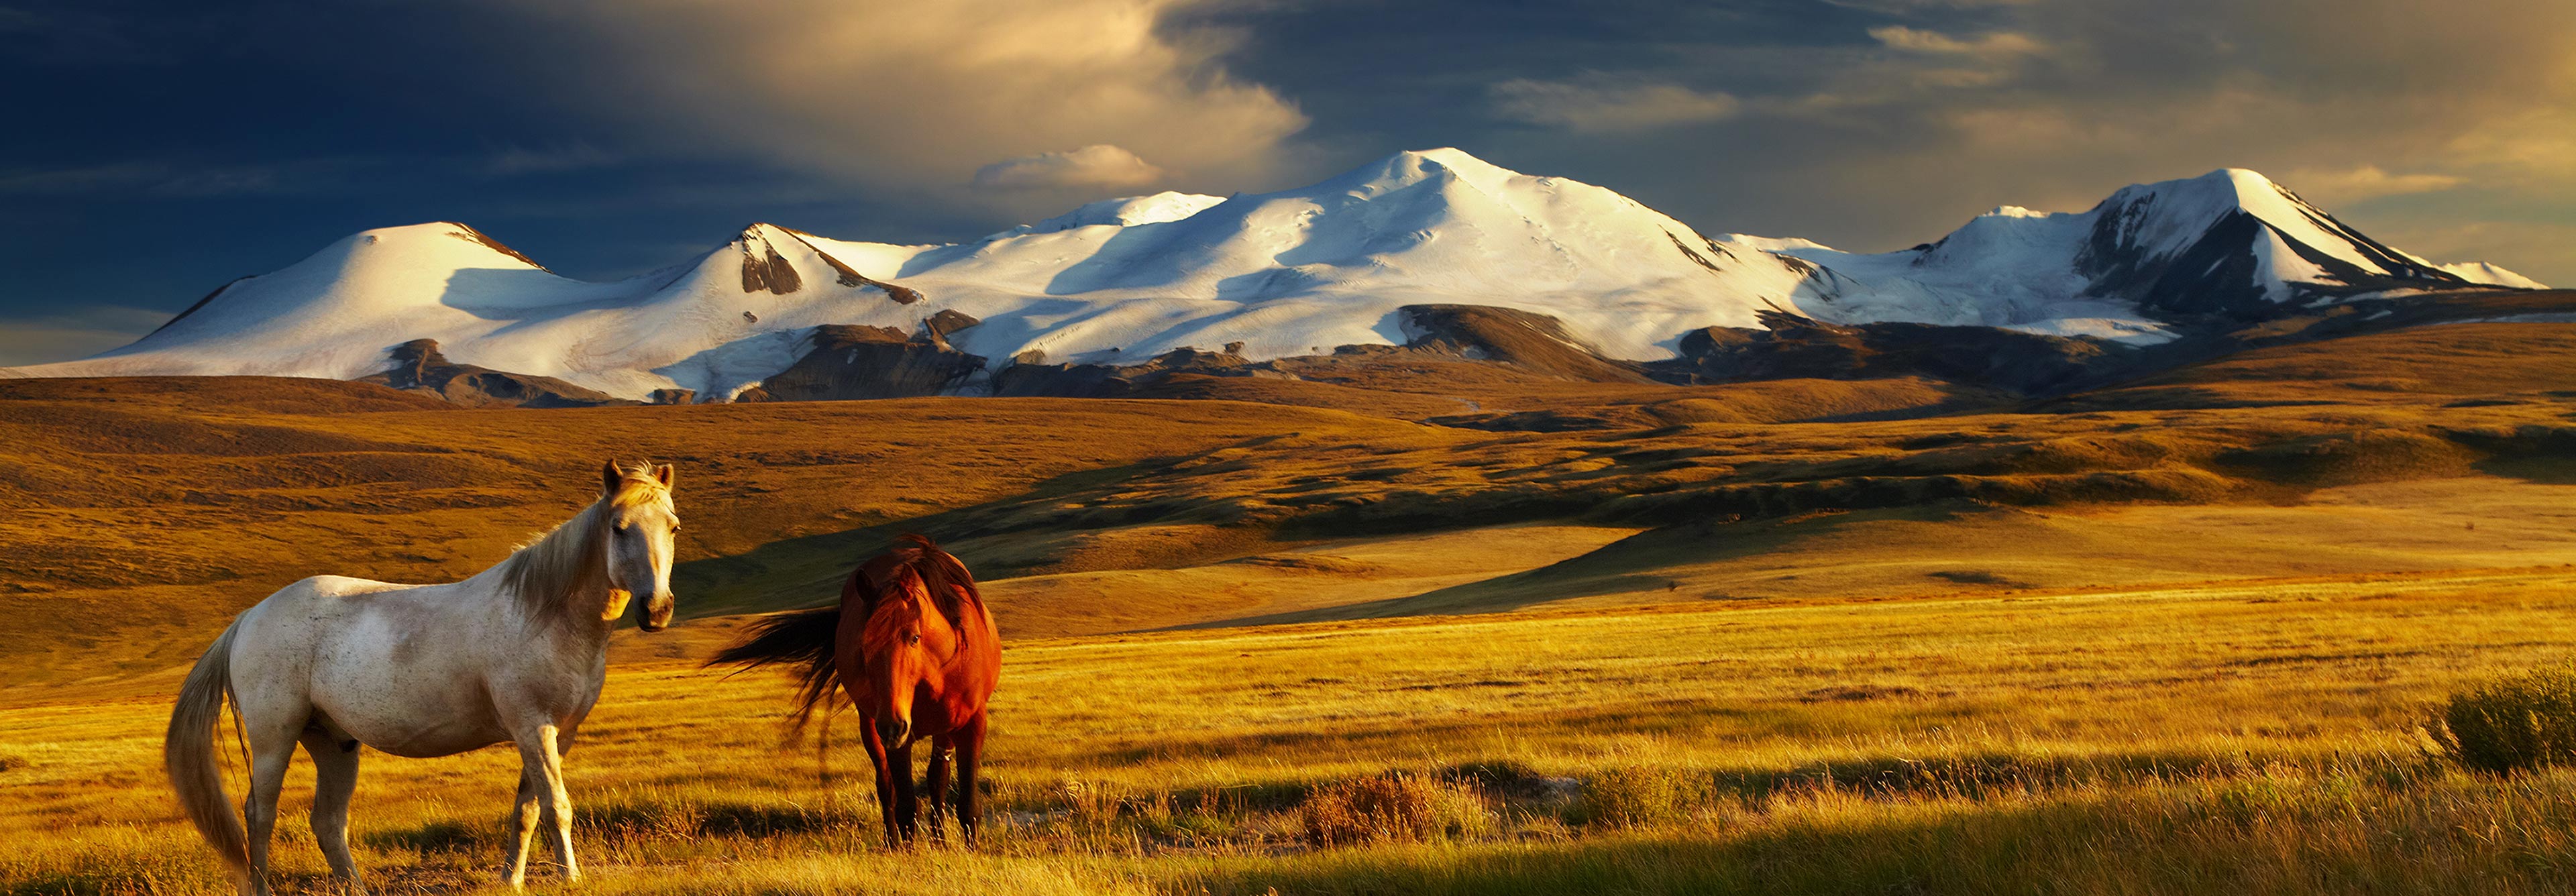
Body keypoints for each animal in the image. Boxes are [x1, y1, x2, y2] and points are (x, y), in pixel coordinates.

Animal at [165, 460, 682, 895]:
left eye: (673, 527)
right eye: (619, 528)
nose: (657, 610)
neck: (543, 614)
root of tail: (249, 617)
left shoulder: (559, 733)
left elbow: (528, 809)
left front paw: (511, 880)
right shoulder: (533, 727)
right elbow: (557, 806)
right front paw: (570, 878)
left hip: (333, 742)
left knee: (328, 822)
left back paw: (357, 888)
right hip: (276, 738)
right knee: (260, 813)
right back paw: (262, 888)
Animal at [712, 534, 1000, 846]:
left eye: (914, 637)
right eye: (863, 646)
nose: (893, 726)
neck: (938, 668)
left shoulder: (971, 724)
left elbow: (967, 805)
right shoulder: (900, 736)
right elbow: (907, 806)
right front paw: (909, 852)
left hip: (938, 729)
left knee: (937, 779)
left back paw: (939, 840)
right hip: (873, 725)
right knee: (888, 787)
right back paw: (894, 844)